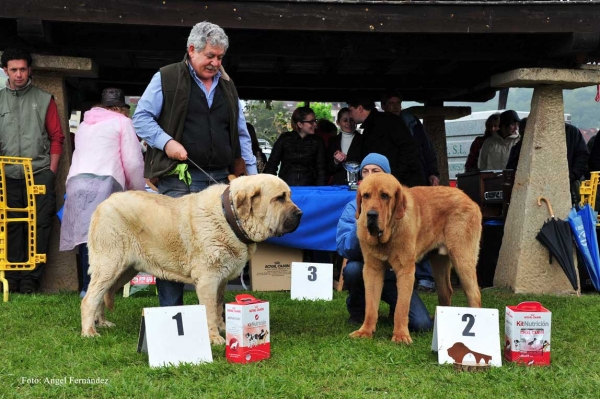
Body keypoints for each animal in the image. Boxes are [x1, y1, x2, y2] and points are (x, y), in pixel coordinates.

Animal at [82, 173, 302, 346]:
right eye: (279, 198)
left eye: (289, 196)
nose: (300, 214)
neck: (229, 216)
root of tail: (103, 204)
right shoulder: (208, 280)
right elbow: (210, 310)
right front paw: (214, 338)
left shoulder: (221, 280)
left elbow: (218, 305)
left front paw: (223, 328)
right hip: (110, 264)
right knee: (90, 298)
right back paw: (89, 332)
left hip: (125, 270)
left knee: (100, 295)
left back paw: (101, 323)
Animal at [352, 173, 482, 346]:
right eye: (366, 196)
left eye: (385, 196)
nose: (371, 215)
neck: (389, 232)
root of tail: (469, 199)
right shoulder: (372, 269)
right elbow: (371, 305)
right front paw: (365, 331)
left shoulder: (405, 270)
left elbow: (401, 307)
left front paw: (401, 335)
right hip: (439, 263)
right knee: (446, 292)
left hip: (462, 258)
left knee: (474, 294)